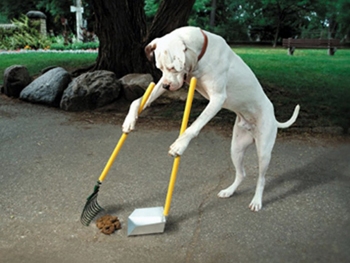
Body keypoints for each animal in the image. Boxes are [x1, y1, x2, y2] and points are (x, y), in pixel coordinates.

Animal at [121, 26, 300, 212]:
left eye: (172, 68)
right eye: (160, 69)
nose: (165, 85)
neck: (201, 54)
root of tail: (273, 116)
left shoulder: (217, 99)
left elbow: (195, 125)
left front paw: (179, 145)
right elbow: (138, 101)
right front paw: (130, 120)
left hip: (263, 152)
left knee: (262, 179)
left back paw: (257, 200)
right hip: (236, 149)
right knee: (241, 173)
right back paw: (229, 191)